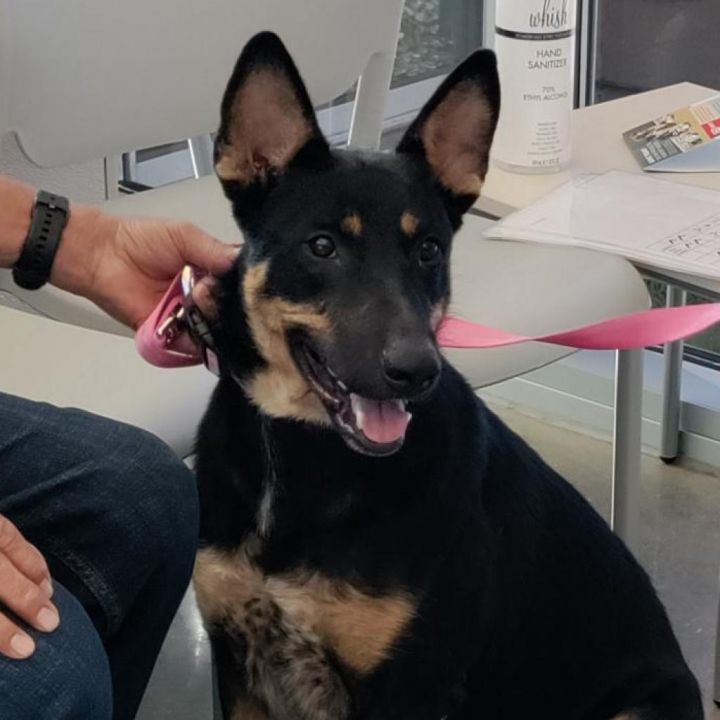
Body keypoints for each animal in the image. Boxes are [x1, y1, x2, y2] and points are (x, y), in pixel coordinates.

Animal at [193, 31, 704, 716]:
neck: (303, 451)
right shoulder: (238, 666)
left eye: (429, 250)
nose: (417, 371)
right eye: (323, 246)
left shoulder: (407, 685)